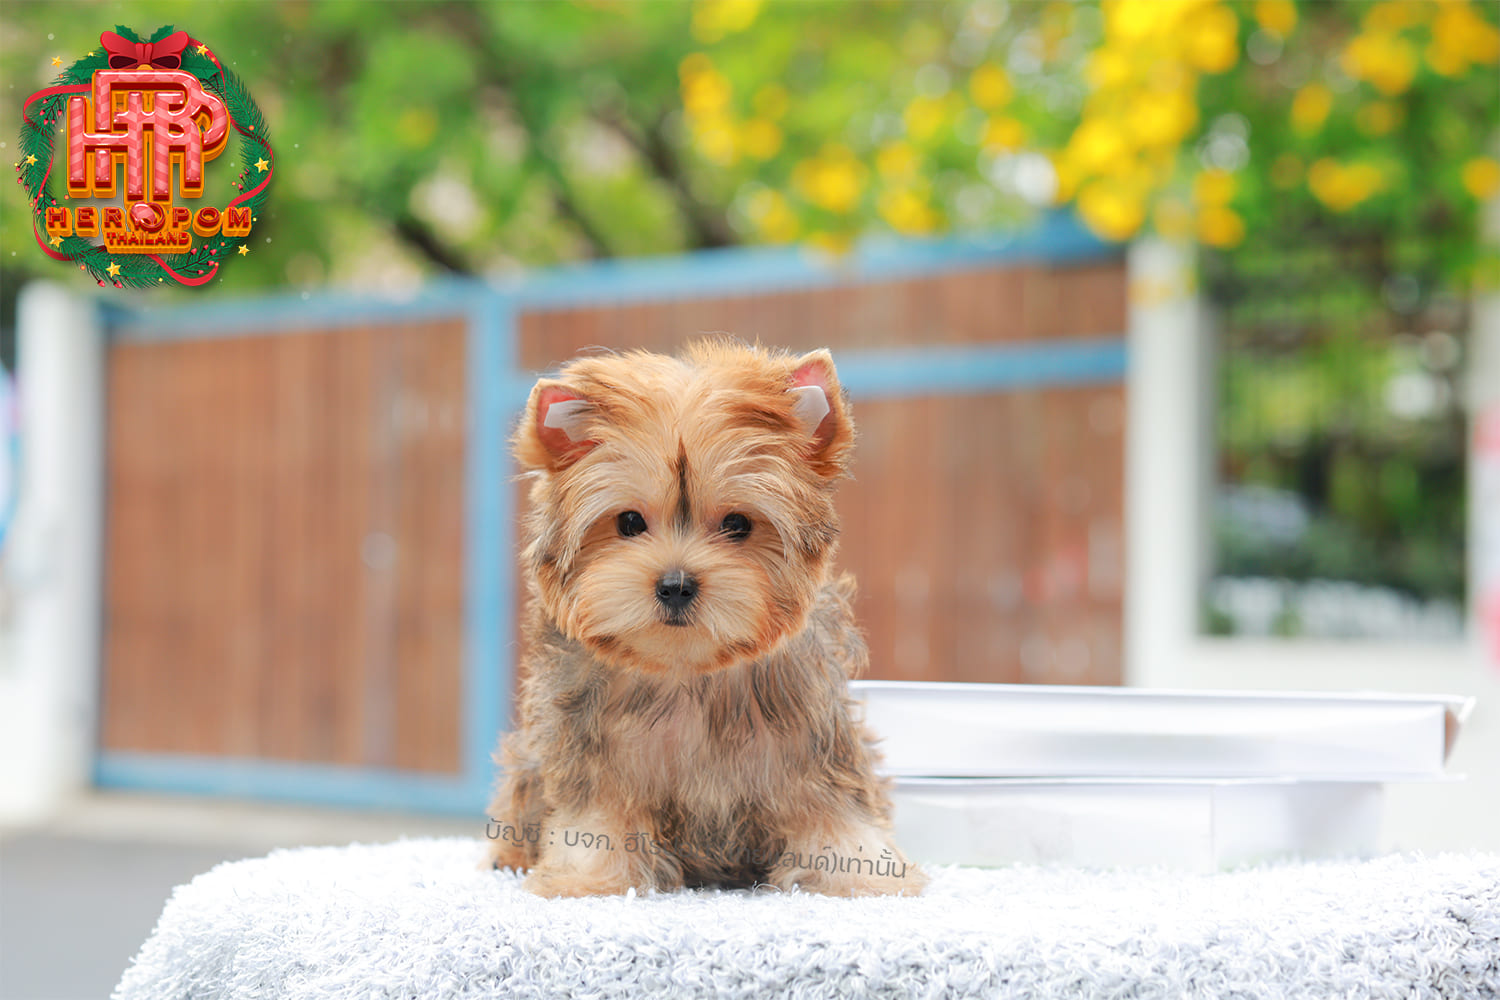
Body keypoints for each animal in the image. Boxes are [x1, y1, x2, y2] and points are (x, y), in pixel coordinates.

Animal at [486, 339, 925, 898]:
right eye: (629, 522)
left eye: (737, 524)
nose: (675, 585)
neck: (688, 671)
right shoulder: (593, 750)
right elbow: (599, 816)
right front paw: (590, 876)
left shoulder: (812, 744)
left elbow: (834, 808)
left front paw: (859, 870)